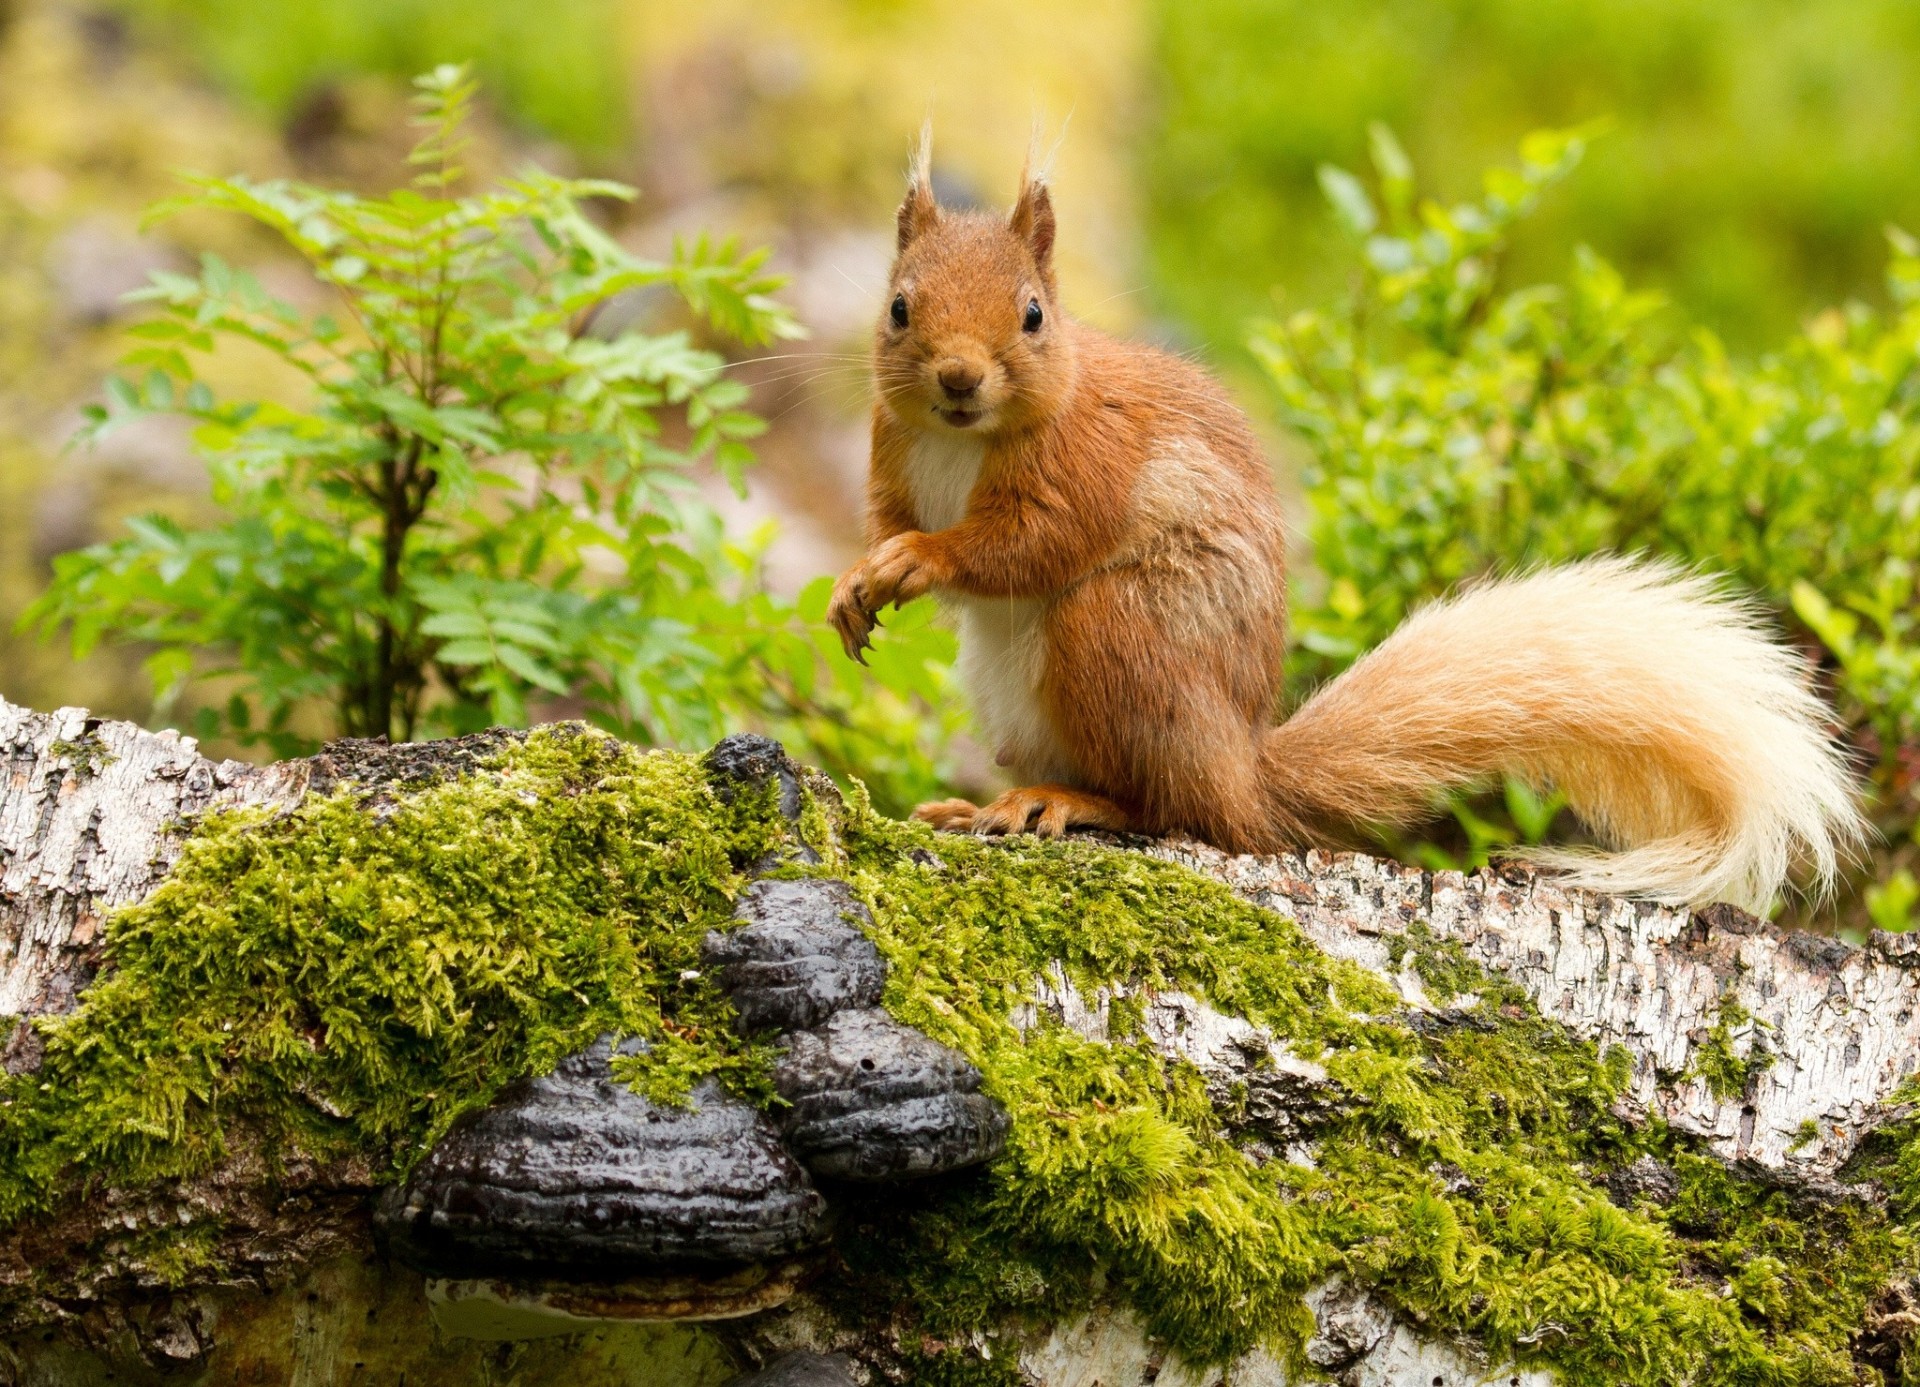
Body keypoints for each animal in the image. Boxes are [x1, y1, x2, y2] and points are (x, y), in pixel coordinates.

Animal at [821, 146, 1858, 914]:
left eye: (1034, 315)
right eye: (898, 306)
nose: (959, 378)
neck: (962, 440)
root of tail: (1241, 766)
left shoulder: (1088, 467)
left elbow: (1025, 544)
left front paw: (921, 560)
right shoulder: (890, 454)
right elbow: (888, 523)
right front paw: (856, 582)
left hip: (1116, 637)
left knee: (1173, 815)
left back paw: (1065, 802)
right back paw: (968, 805)